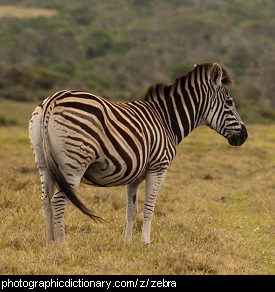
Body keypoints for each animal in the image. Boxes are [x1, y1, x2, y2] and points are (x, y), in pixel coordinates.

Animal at [29, 62, 248, 245]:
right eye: (229, 103)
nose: (244, 136)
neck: (166, 120)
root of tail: (52, 100)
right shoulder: (158, 168)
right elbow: (149, 208)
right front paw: (146, 243)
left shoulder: (134, 175)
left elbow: (131, 210)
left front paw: (127, 242)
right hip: (74, 164)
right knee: (58, 202)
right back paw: (62, 245)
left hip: (44, 163)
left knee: (45, 200)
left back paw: (49, 243)